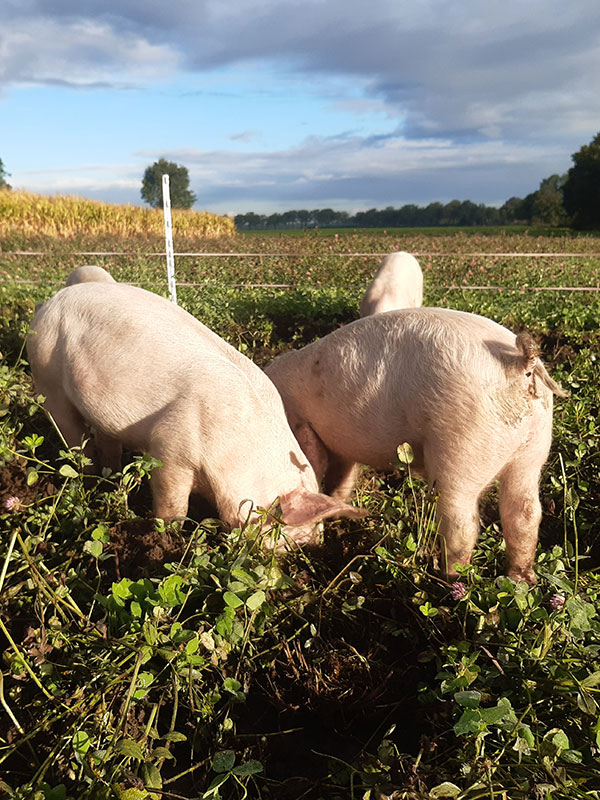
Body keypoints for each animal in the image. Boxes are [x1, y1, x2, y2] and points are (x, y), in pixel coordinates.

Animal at [25, 278, 364, 548]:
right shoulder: (170, 448)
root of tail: (48, 303)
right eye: (297, 537)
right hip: (46, 377)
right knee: (72, 437)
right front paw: (168, 538)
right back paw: (89, 479)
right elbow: (173, 505)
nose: (316, 547)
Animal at [268, 308, 568, 580]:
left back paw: (447, 578)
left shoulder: (302, 424)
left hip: (462, 449)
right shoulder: (341, 448)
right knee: (526, 514)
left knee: (463, 524)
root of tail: (521, 365)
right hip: (533, 449)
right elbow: (342, 476)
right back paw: (521, 580)